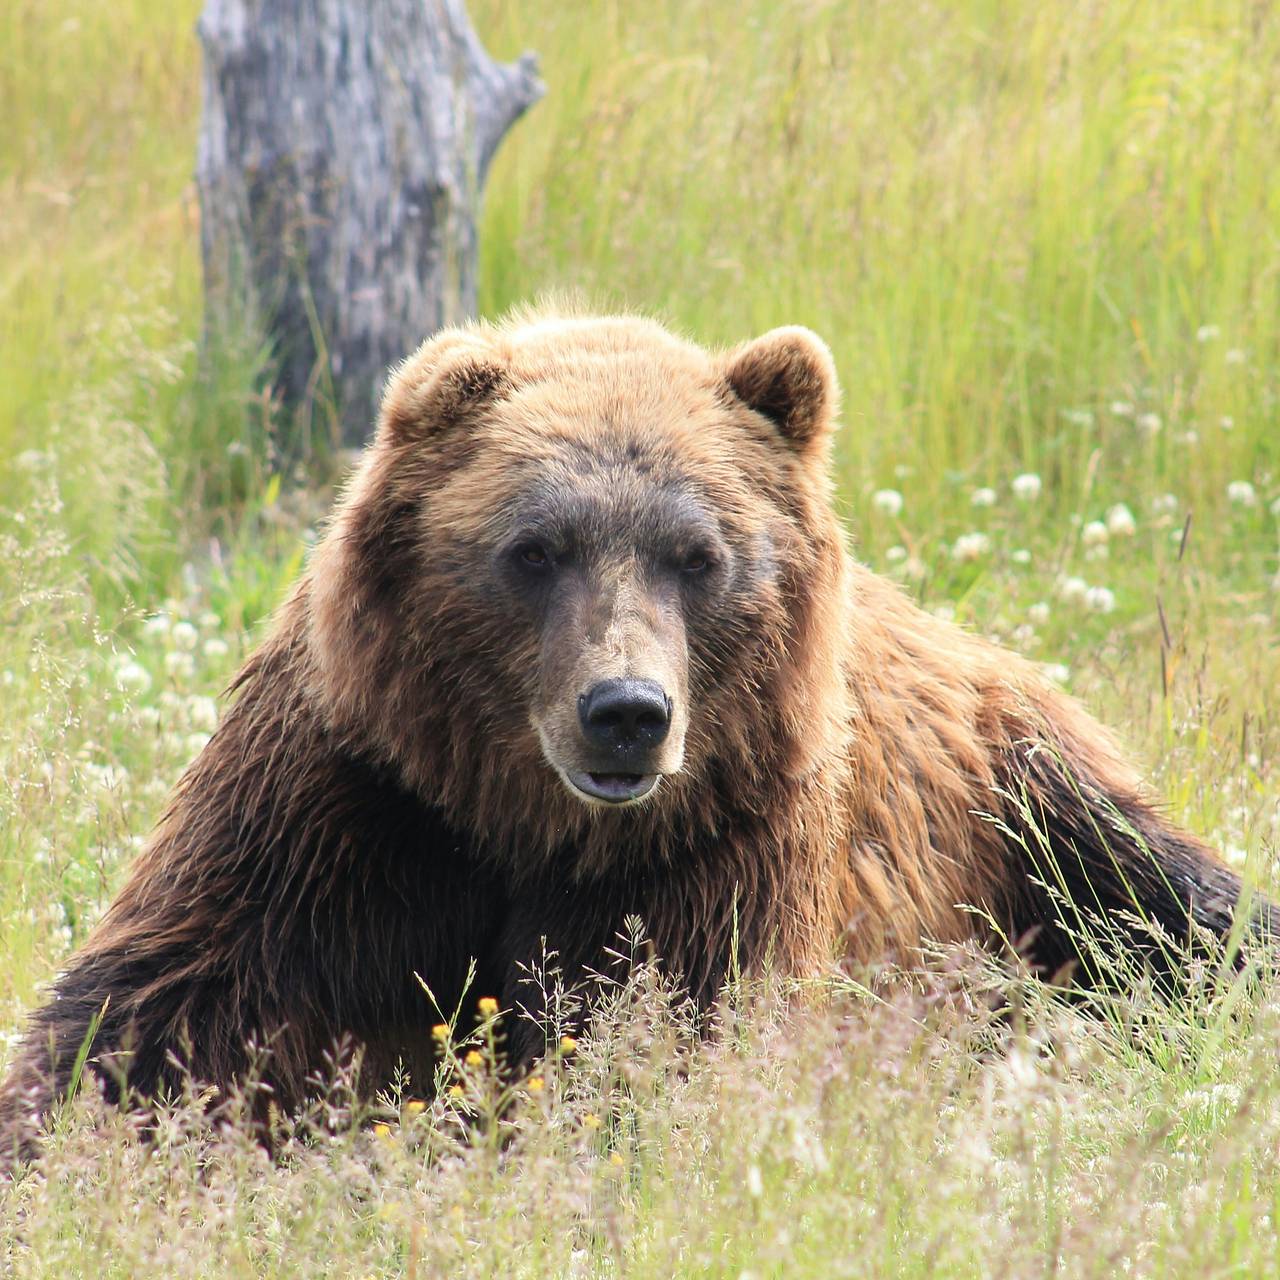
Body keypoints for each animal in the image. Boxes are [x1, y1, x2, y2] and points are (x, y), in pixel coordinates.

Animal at [0, 312, 1259, 1162]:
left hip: (1022, 804)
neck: (524, 820)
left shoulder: (716, 840)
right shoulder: (353, 799)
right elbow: (166, 1006)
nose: (625, 711)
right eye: (533, 547)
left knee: (1175, 910)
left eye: (697, 554)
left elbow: (654, 1040)